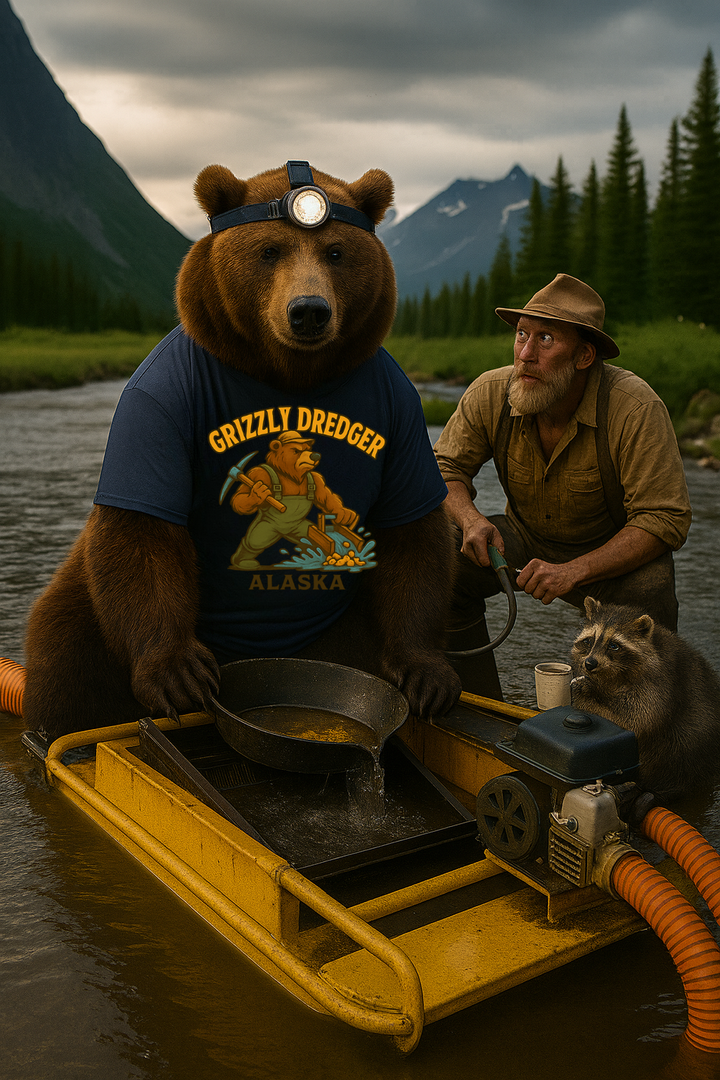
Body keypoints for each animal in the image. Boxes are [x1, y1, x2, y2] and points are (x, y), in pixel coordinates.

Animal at [23, 160, 462, 742]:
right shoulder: (161, 399)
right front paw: (177, 672)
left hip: (339, 636)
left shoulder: (398, 407)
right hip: (86, 615)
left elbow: (413, 527)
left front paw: (427, 672)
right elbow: (145, 524)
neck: (288, 374)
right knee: (68, 675)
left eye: (336, 252)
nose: (308, 311)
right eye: (270, 250)